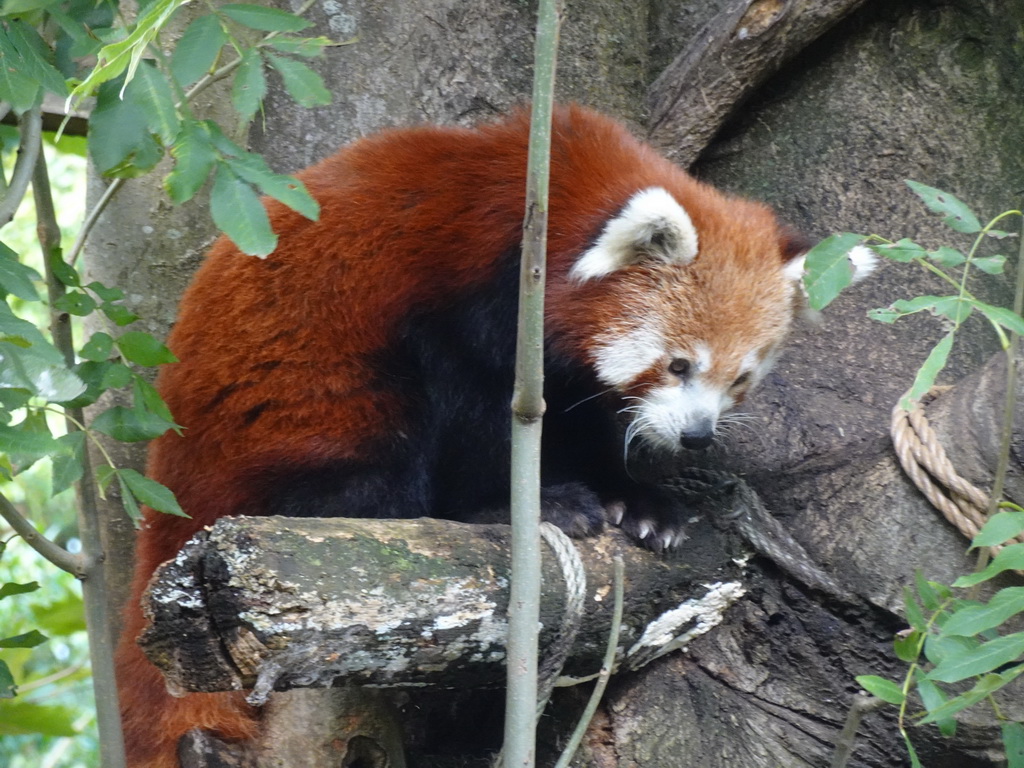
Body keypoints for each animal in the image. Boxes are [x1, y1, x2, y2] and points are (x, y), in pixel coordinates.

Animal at [116, 103, 864, 768]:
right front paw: (526, 501)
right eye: (679, 364)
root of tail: (168, 479)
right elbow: (472, 400)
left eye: (739, 379)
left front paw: (639, 502)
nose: (698, 438)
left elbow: (591, 417)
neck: (553, 204)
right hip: (303, 409)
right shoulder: (471, 287)